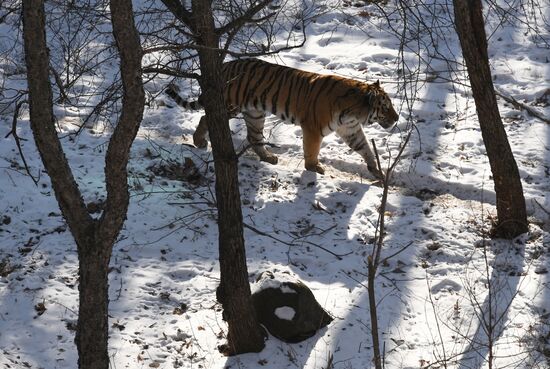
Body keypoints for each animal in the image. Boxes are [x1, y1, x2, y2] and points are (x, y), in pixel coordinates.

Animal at [165, 57, 402, 178]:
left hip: (255, 114)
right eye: (386, 107)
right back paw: (199, 141)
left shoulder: (351, 129)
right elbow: (312, 150)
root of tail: (224, 65)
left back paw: (268, 157)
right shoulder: (313, 128)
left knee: (253, 137)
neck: (355, 113)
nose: (398, 117)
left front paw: (376, 170)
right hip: (229, 105)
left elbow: (365, 148)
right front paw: (313, 168)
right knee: (205, 118)